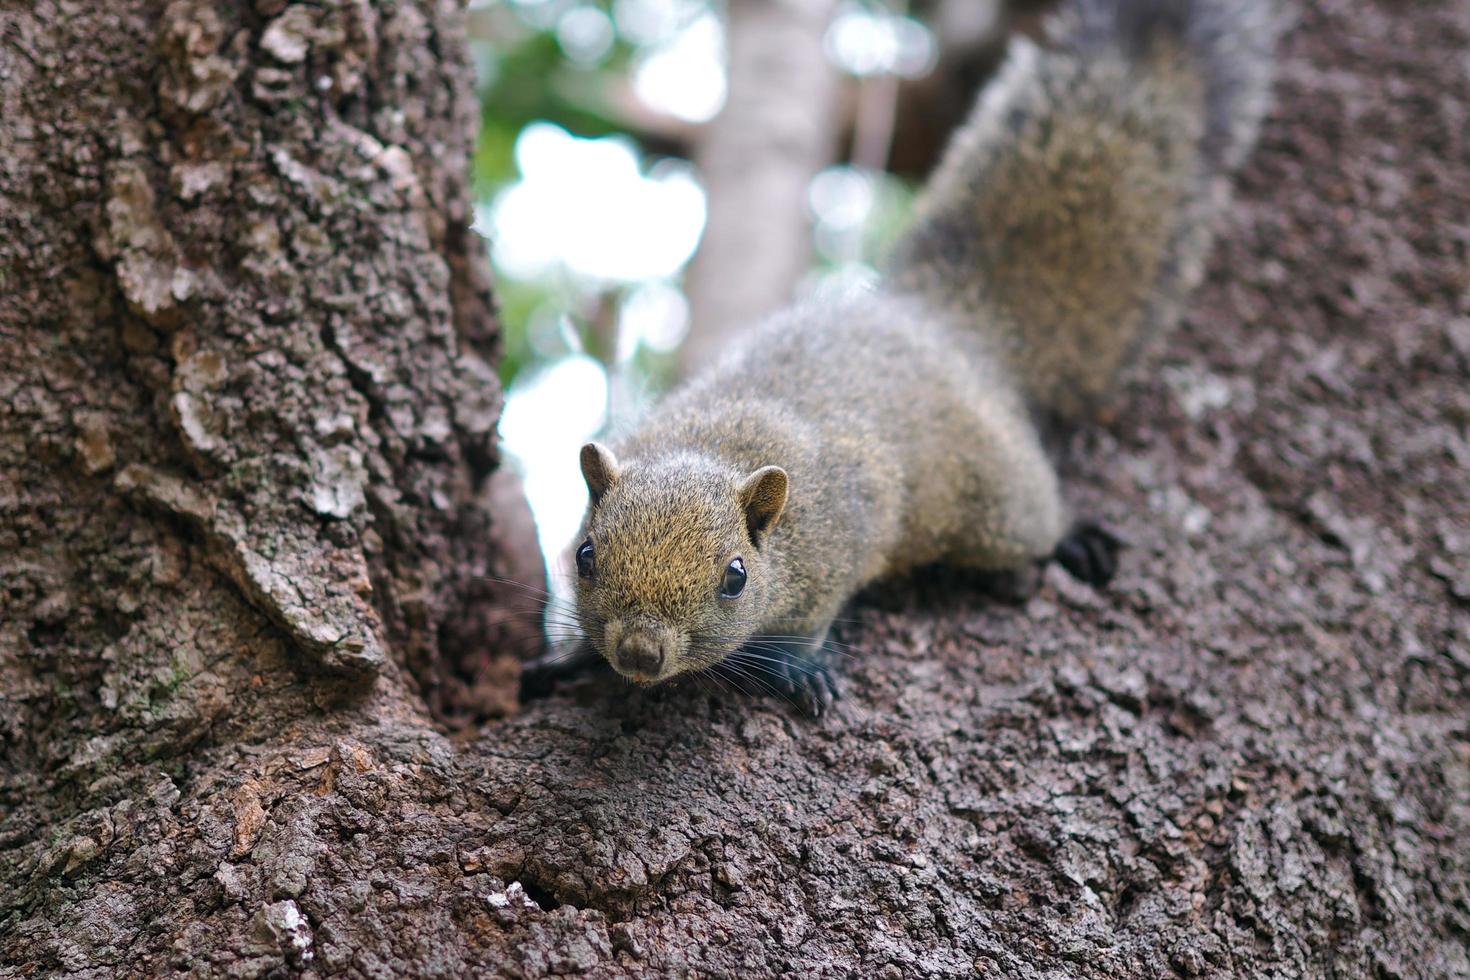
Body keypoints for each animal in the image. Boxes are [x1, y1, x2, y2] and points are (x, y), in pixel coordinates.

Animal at [552, 0, 1275, 714]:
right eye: (585, 554)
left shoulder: (848, 525)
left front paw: (800, 668)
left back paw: (1071, 537)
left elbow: (810, 619)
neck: (711, 443)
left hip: (997, 499)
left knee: (1033, 517)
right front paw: (567, 660)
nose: (640, 653)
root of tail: (948, 321)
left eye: (735, 577)